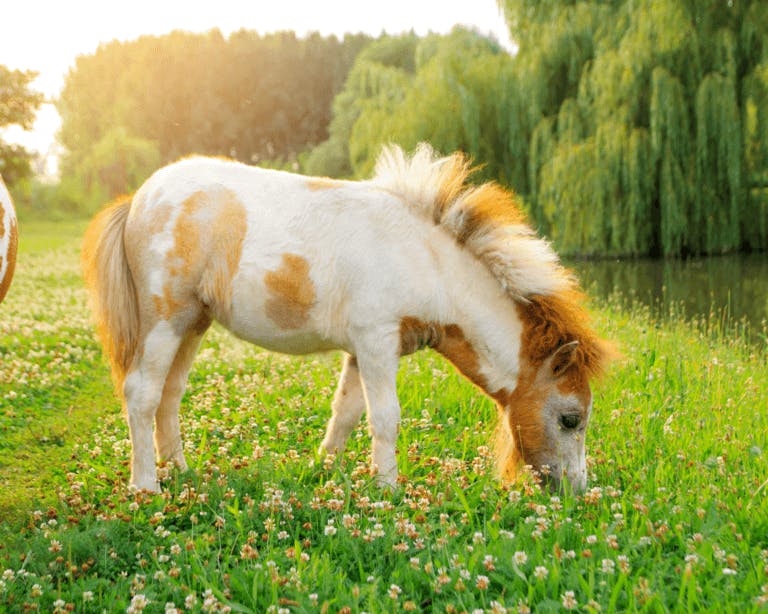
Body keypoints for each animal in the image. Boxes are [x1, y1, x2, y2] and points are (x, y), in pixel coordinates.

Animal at [82, 144, 613, 494]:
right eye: (570, 418)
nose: (577, 493)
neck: (427, 262)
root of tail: (139, 197)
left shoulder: (363, 352)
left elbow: (346, 414)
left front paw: (326, 473)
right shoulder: (377, 341)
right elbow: (385, 418)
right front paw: (388, 488)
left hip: (192, 325)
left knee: (169, 395)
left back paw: (180, 470)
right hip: (163, 321)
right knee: (142, 394)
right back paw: (145, 486)